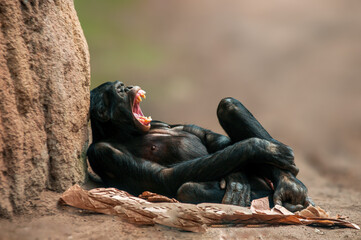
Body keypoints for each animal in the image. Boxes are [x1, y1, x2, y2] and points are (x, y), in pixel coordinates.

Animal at [88, 81, 312, 212]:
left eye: (123, 85)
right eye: (119, 90)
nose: (128, 88)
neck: (128, 132)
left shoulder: (162, 122)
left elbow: (206, 137)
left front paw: (237, 178)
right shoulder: (103, 152)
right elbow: (163, 177)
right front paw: (262, 147)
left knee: (228, 105)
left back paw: (290, 186)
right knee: (188, 190)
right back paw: (279, 200)